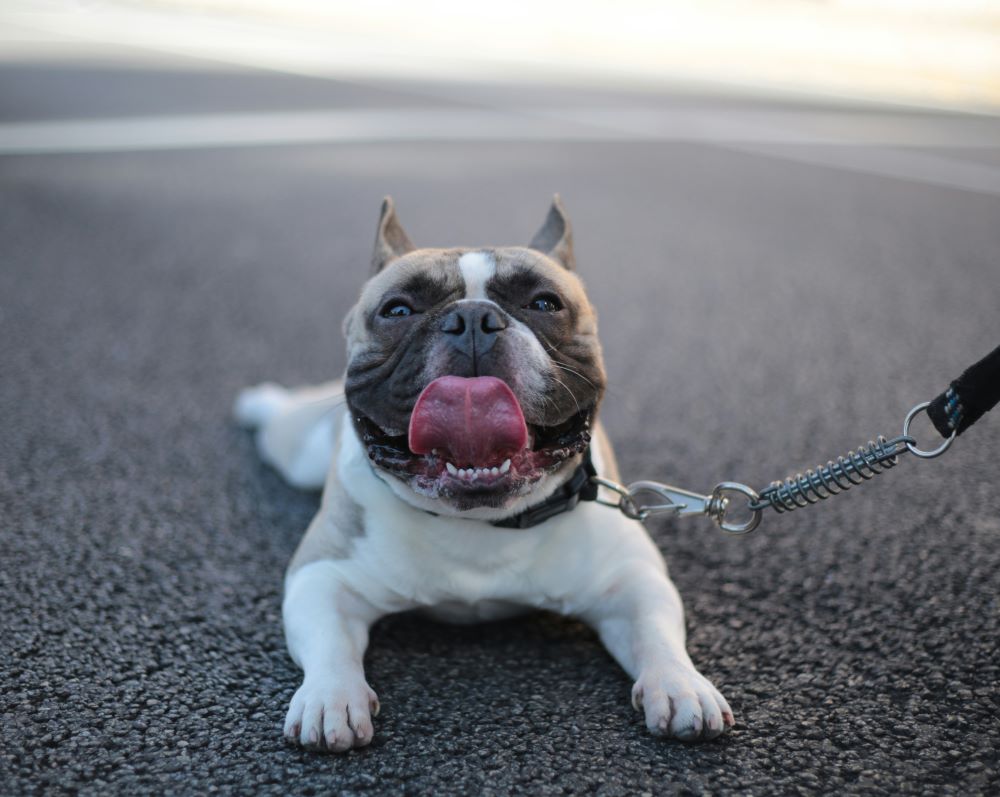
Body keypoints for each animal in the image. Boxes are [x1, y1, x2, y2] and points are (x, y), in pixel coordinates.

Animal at [234, 196, 736, 748]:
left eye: (545, 303)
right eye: (397, 310)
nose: (473, 318)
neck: (480, 522)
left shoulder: (630, 580)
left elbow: (657, 631)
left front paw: (680, 685)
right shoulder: (322, 575)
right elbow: (328, 641)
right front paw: (331, 697)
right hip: (299, 452)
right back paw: (257, 403)